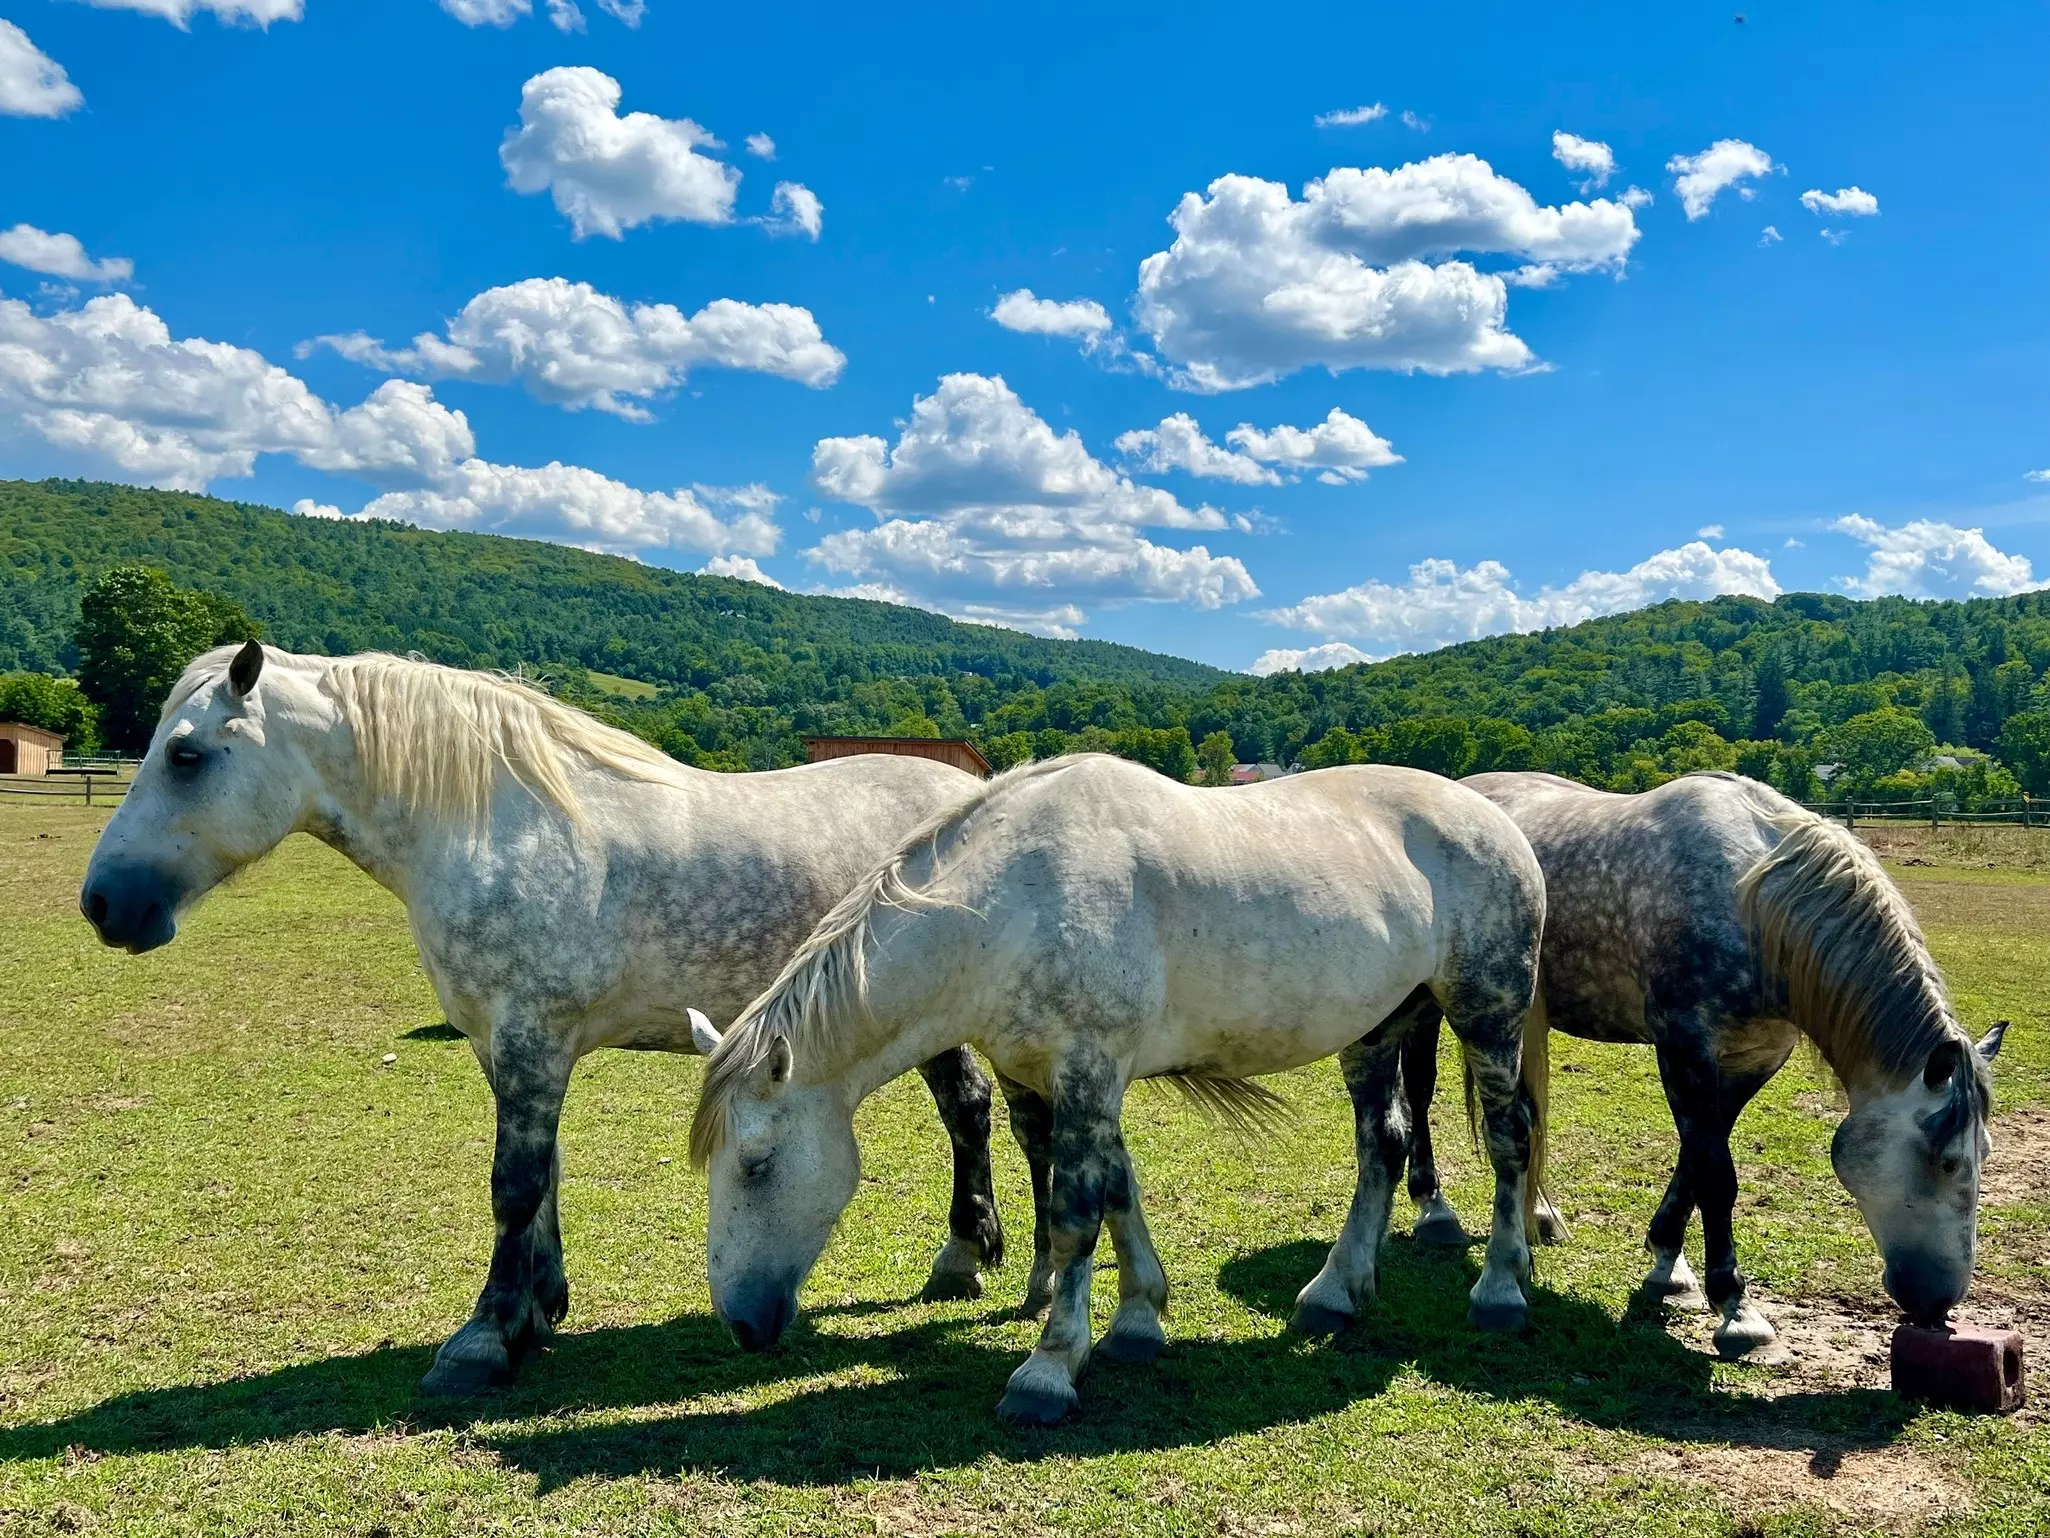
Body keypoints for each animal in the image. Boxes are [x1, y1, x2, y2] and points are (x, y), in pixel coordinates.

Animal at [78, 641, 1009, 1394]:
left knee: (967, 1111)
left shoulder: (533, 1038)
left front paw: (485, 1340)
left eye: (186, 755)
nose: (103, 905)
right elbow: (543, 1176)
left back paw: (964, 1257)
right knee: (967, 1108)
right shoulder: (503, 1046)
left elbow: (513, 1183)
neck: (493, 831)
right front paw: (539, 1309)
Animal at [688, 753, 1547, 1425]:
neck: (1011, 906)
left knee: (1509, 1139)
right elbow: (1120, 1193)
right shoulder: (1071, 1081)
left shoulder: (1089, 1070)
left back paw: (1501, 1290)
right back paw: (1334, 1294)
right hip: (1377, 1030)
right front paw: (1138, 1322)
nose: (741, 1325)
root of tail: (1497, 820)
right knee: (1383, 1147)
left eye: (757, 1163)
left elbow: (1076, 1215)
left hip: (1487, 1013)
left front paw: (1049, 1369)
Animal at [1397, 770, 2006, 1356]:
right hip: (1434, 1006)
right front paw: (1736, 1310)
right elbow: (1716, 1174)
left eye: (1984, 1155)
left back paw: (1541, 1217)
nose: (1938, 1304)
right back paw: (1435, 1210)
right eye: (1946, 1160)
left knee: (1528, 1114)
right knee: (1422, 1090)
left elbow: (1695, 1161)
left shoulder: (1750, 1062)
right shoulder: (1684, 1047)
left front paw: (1669, 1267)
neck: (1754, 907)